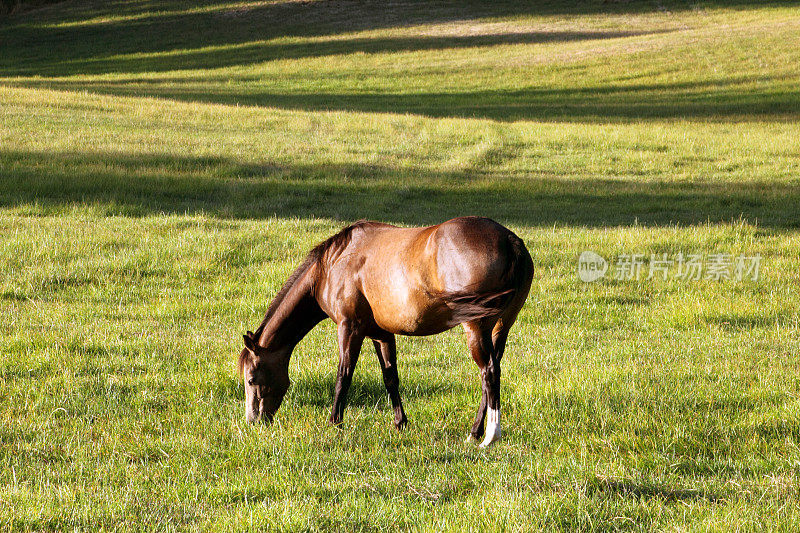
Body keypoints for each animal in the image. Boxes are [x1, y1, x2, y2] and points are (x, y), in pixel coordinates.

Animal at [241, 215, 536, 444]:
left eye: (251, 380)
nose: (254, 421)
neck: (333, 265)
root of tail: (510, 241)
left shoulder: (349, 328)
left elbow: (343, 375)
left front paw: (335, 423)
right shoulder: (381, 334)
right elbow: (390, 378)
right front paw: (400, 423)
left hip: (476, 327)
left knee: (489, 372)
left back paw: (490, 436)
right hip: (500, 328)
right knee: (492, 373)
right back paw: (475, 432)